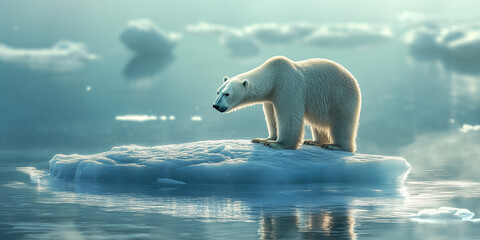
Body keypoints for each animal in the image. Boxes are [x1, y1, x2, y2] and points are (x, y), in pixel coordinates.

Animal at [213, 56, 360, 152]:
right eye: (218, 92)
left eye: (227, 94)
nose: (216, 106)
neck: (273, 75)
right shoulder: (270, 98)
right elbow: (272, 117)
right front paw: (263, 139)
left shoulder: (287, 85)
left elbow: (289, 116)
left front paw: (276, 144)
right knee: (318, 124)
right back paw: (314, 141)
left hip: (341, 97)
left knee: (342, 123)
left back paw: (335, 146)